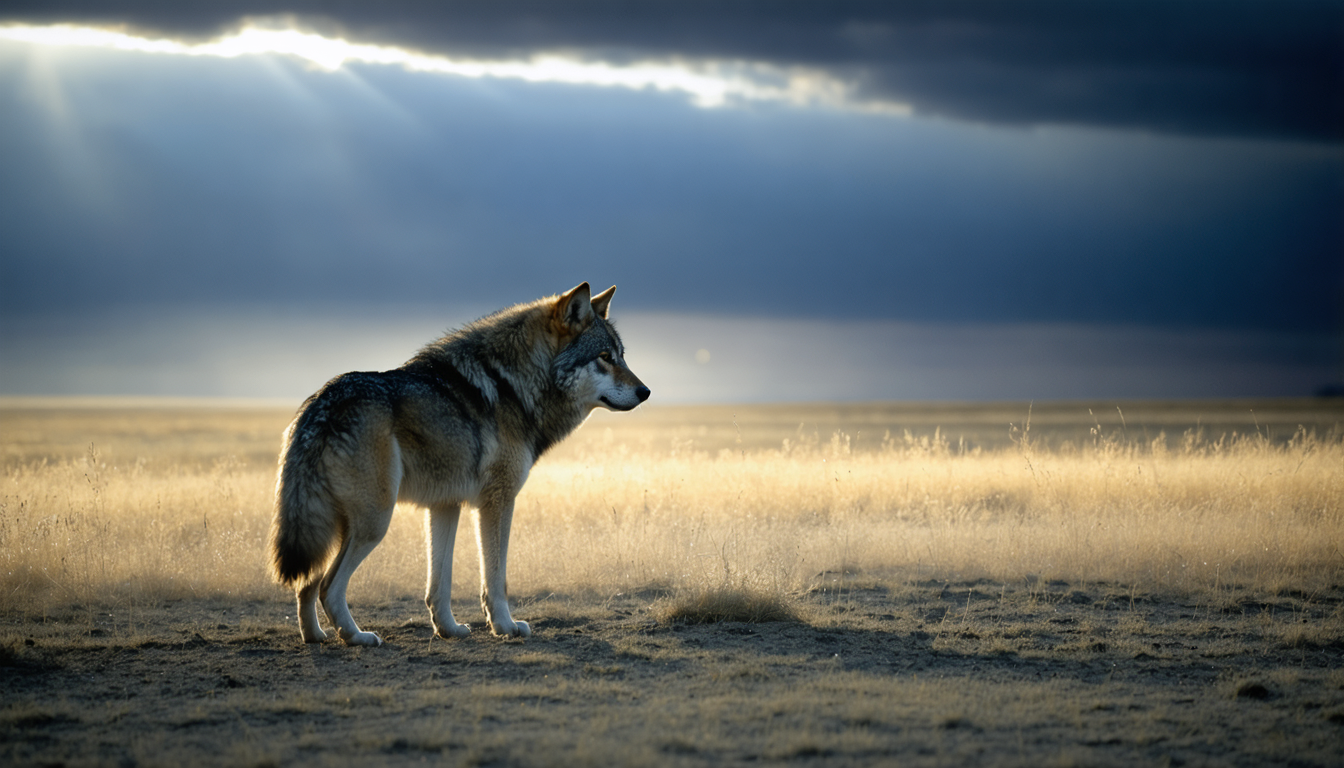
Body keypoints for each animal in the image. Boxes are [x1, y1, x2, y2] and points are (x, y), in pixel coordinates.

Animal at [269, 283, 649, 646]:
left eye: (622, 357)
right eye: (605, 357)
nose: (645, 392)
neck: (514, 387)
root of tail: (319, 407)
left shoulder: (445, 505)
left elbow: (440, 585)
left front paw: (448, 630)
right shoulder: (497, 501)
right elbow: (495, 578)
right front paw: (505, 627)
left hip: (333, 526)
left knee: (306, 583)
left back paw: (315, 637)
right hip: (374, 522)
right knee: (327, 586)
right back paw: (357, 637)